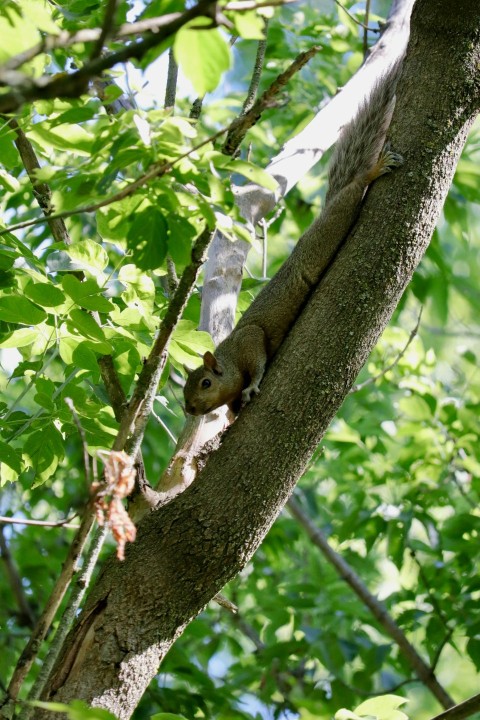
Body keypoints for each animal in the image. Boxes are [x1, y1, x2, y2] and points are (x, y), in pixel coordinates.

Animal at [186, 69, 404, 416]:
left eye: (205, 383)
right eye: (185, 389)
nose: (190, 409)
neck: (229, 359)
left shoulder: (249, 340)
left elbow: (257, 362)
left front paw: (251, 388)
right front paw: (232, 414)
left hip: (325, 234)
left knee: (350, 196)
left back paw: (372, 172)